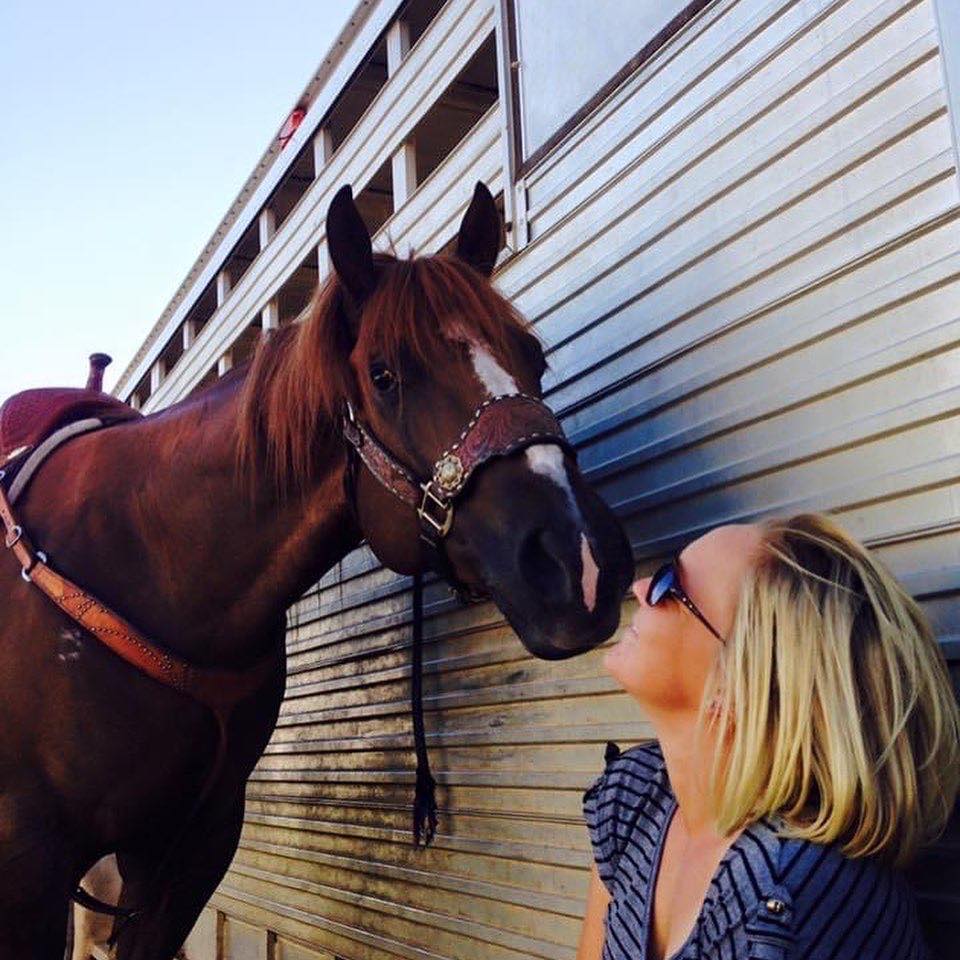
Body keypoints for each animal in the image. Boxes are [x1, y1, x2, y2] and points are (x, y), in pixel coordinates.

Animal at [0, 182, 632, 960]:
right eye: (384, 374)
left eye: (533, 358)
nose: (581, 563)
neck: (148, 566)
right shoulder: (28, 862)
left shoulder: (183, 853)